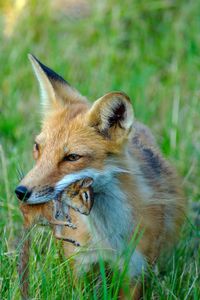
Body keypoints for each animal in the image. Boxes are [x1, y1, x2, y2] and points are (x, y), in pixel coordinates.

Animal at [15, 54, 186, 300]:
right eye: (38, 147)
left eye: (72, 157)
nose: (20, 192)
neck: (106, 236)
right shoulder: (79, 266)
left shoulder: (135, 271)